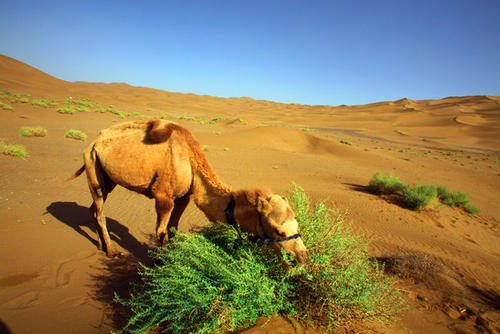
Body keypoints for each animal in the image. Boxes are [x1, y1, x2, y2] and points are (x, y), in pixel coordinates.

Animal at [68, 120, 306, 264]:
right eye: (279, 231)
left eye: (297, 226)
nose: (303, 256)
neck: (190, 160)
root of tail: (94, 142)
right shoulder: (163, 197)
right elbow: (160, 232)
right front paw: (159, 263)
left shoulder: (185, 197)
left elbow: (173, 229)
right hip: (93, 165)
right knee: (100, 210)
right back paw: (111, 251)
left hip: (106, 177)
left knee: (93, 209)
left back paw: (99, 244)